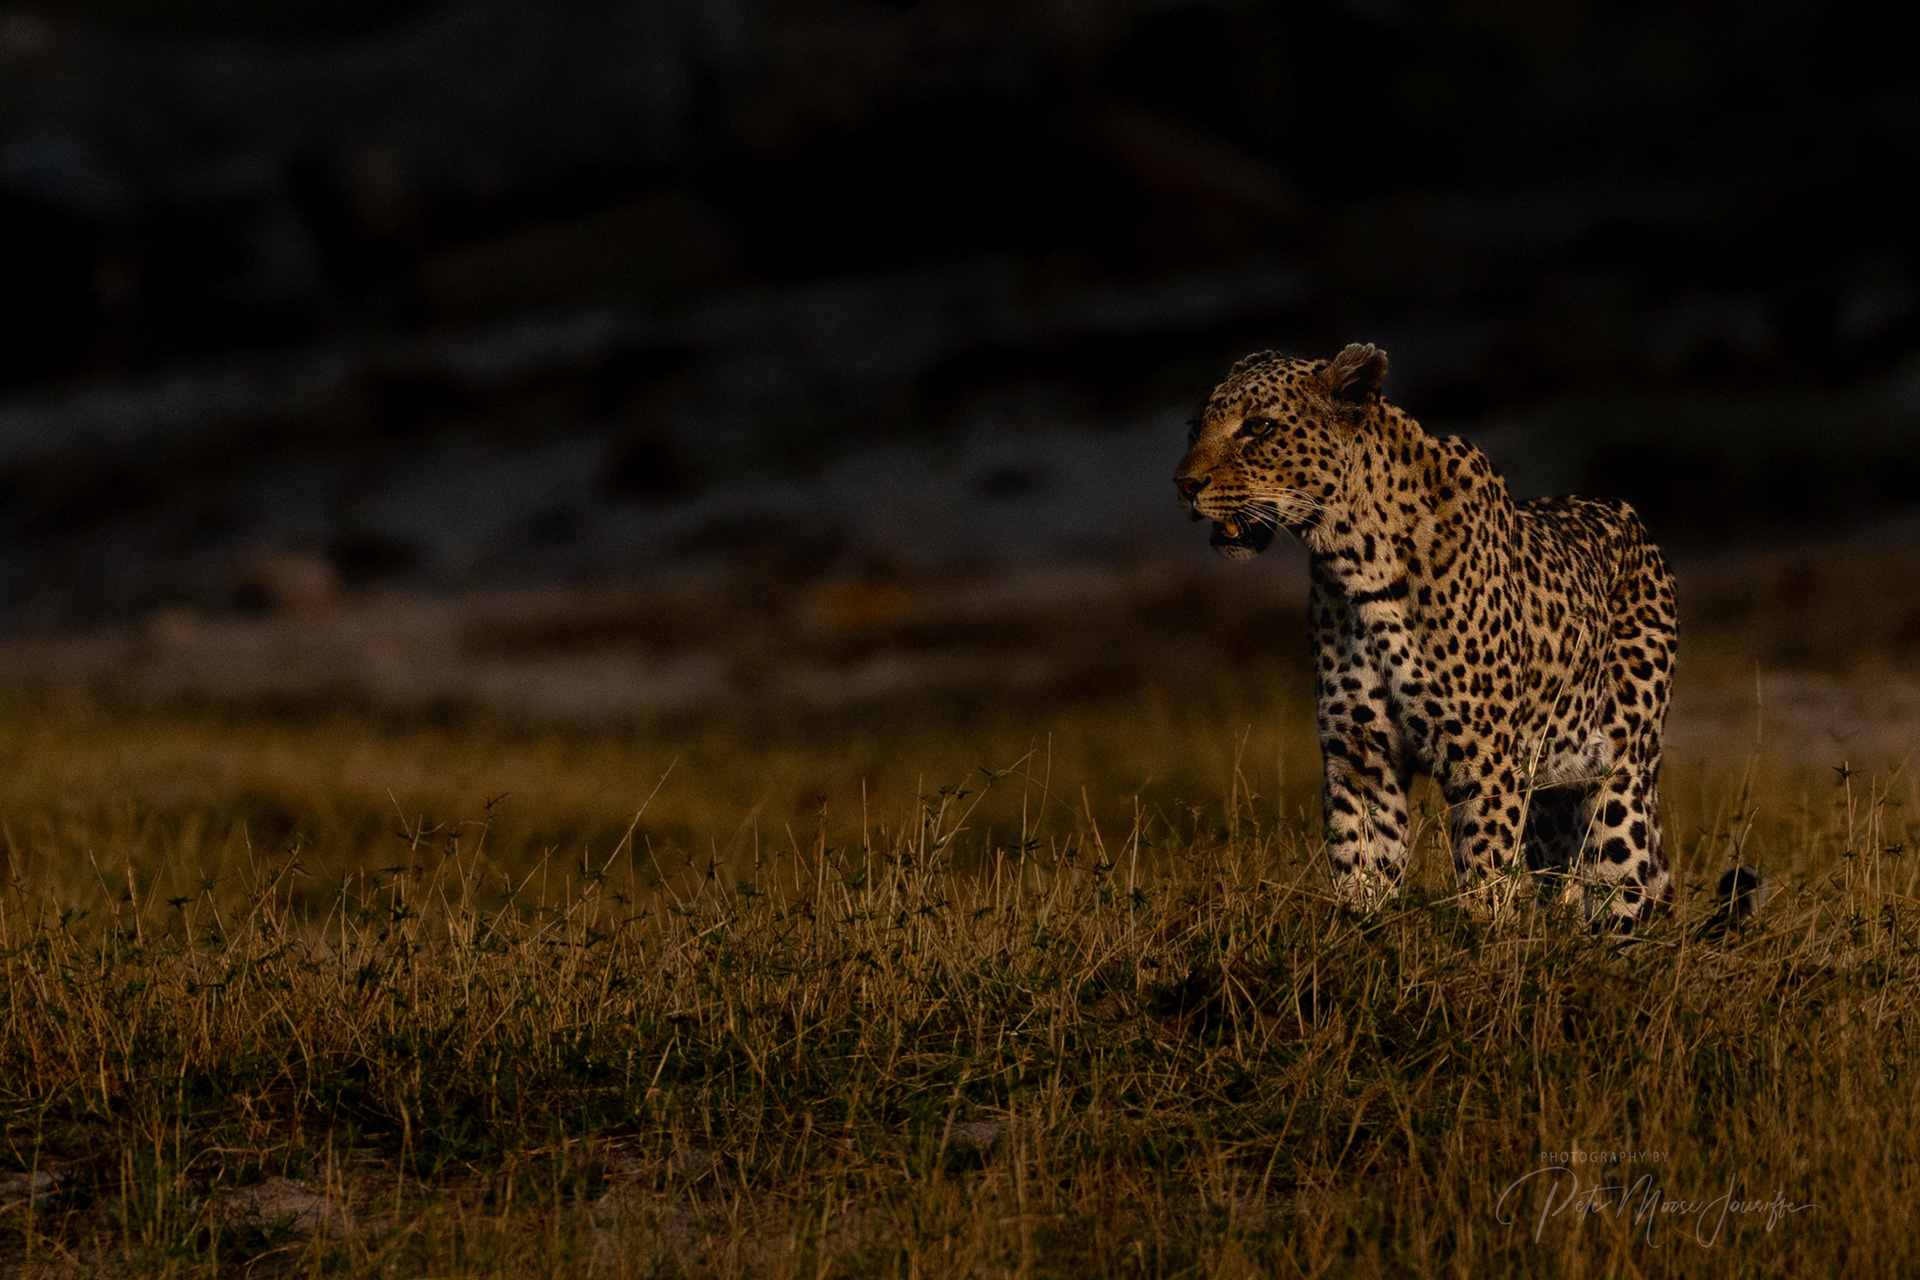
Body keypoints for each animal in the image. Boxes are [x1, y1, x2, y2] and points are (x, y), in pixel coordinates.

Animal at [1172, 342, 1684, 930]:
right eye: (1196, 427)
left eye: (1258, 426)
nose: (1183, 485)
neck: (1355, 560)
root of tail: (1636, 524)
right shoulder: (1360, 757)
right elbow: (1361, 867)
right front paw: (1362, 930)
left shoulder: (1483, 762)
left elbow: (1486, 878)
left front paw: (1485, 939)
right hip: (1548, 795)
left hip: (1620, 776)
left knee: (1621, 884)